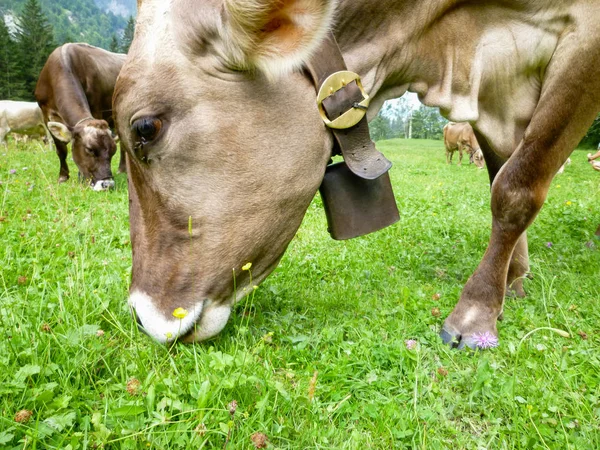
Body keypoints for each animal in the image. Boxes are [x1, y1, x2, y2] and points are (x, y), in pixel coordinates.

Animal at [35, 42, 126, 190]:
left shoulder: (96, 108)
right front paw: (63, 177)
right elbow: (61, 150)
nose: (108, 184)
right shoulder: (45, 113)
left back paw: (122, 169)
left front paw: (81, 177)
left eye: (113, 151)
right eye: (89, 149)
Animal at [112, 0, 600, 348]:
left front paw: (477, 311)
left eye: (145, 128)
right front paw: (512, 281)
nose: (139, 314)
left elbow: (515, 186)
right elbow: (502, 169)